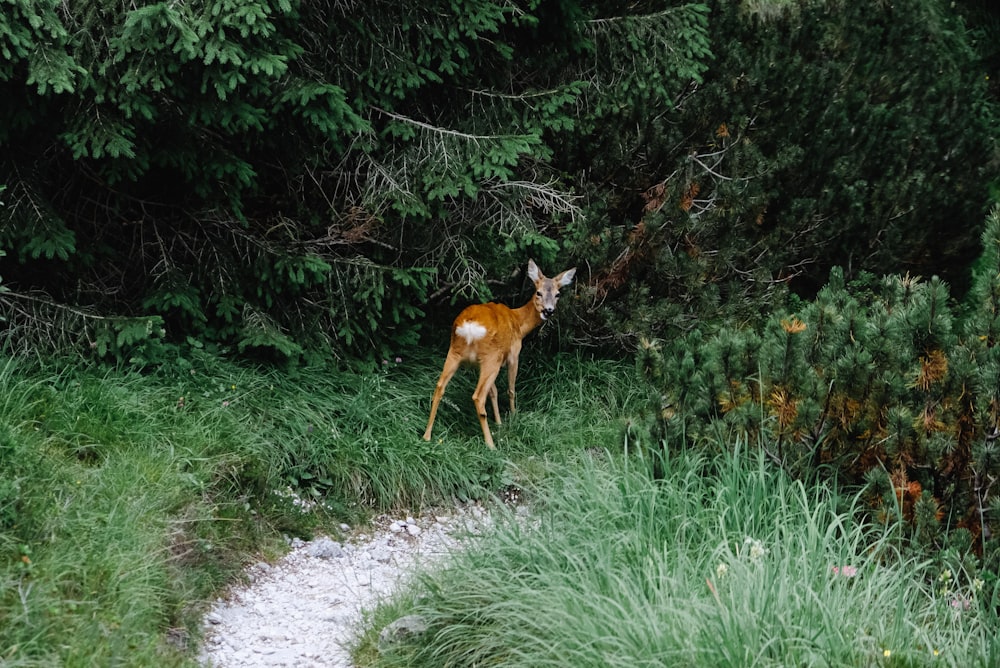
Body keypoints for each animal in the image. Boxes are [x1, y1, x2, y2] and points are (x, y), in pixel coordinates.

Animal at [422, 260, 580, 448]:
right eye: (538, 292)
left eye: (557, 294)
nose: (549, 311)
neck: (519, 323)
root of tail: (469, 328)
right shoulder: (514, 354)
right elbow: (510, 389)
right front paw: (513, 416)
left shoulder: (479, 364)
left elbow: (494, 391)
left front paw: (499, 423)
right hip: (492, 357)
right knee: (478, 396)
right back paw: (491, 445)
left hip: (455, 352)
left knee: (439, 387)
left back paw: (426, 436)